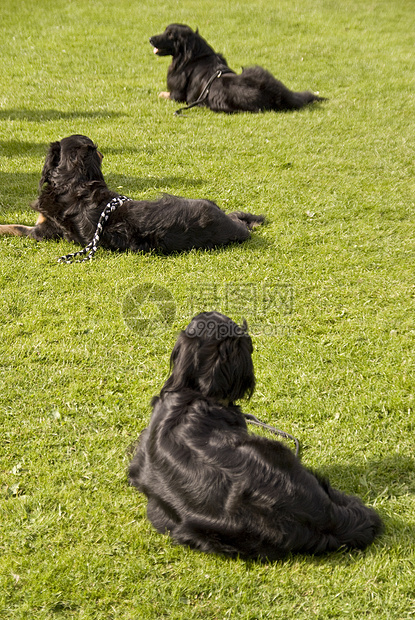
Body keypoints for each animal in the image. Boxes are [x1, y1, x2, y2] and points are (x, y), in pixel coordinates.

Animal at [150, 24, 324, 114]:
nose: (150, 38)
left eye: (170, 35)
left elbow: (162, 94)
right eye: (165, 31)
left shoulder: (178, 96)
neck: (193, 55)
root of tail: (278, 95)